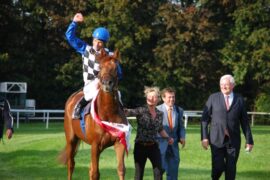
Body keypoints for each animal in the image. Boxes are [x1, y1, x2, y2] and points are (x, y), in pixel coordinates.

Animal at [59, 49, 129, 180]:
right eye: (100, 67)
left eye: (115, 67)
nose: (107, 83)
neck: (108, 112)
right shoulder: (95, 145)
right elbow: (96, 173)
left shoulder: (119, 143)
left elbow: (121, 169)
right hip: (71, 139)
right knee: (71, 164)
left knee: (90, 169)